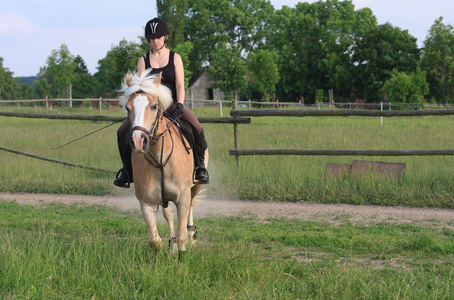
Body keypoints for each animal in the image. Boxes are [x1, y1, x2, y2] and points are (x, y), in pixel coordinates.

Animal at [119, 69, 207, 253]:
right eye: (127, 108)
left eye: (153, 106)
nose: (139, 141)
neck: (160, 159)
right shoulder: (147, 203)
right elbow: (155, 241)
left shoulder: (183, 198)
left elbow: (182, 236)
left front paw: (182, 253)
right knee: (169, 214)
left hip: (195, 186)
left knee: (191, 207)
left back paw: (192, 235)